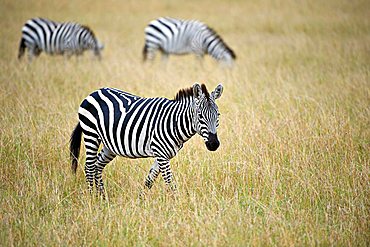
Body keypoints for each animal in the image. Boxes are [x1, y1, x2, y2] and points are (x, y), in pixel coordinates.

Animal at [70, 83, 224, 197]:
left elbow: (150, 179)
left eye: (218, 115)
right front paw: (179, 204)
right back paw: (92, 198)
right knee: (89, 166)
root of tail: (94, 92)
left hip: (110, 146)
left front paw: (141, 199)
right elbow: (170, 182)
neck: (173, 122)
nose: (214, 144)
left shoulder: (163, 155)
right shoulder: (161, 154)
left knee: (98, 165)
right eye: (200, 116)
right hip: (91, 134)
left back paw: (102, 197)